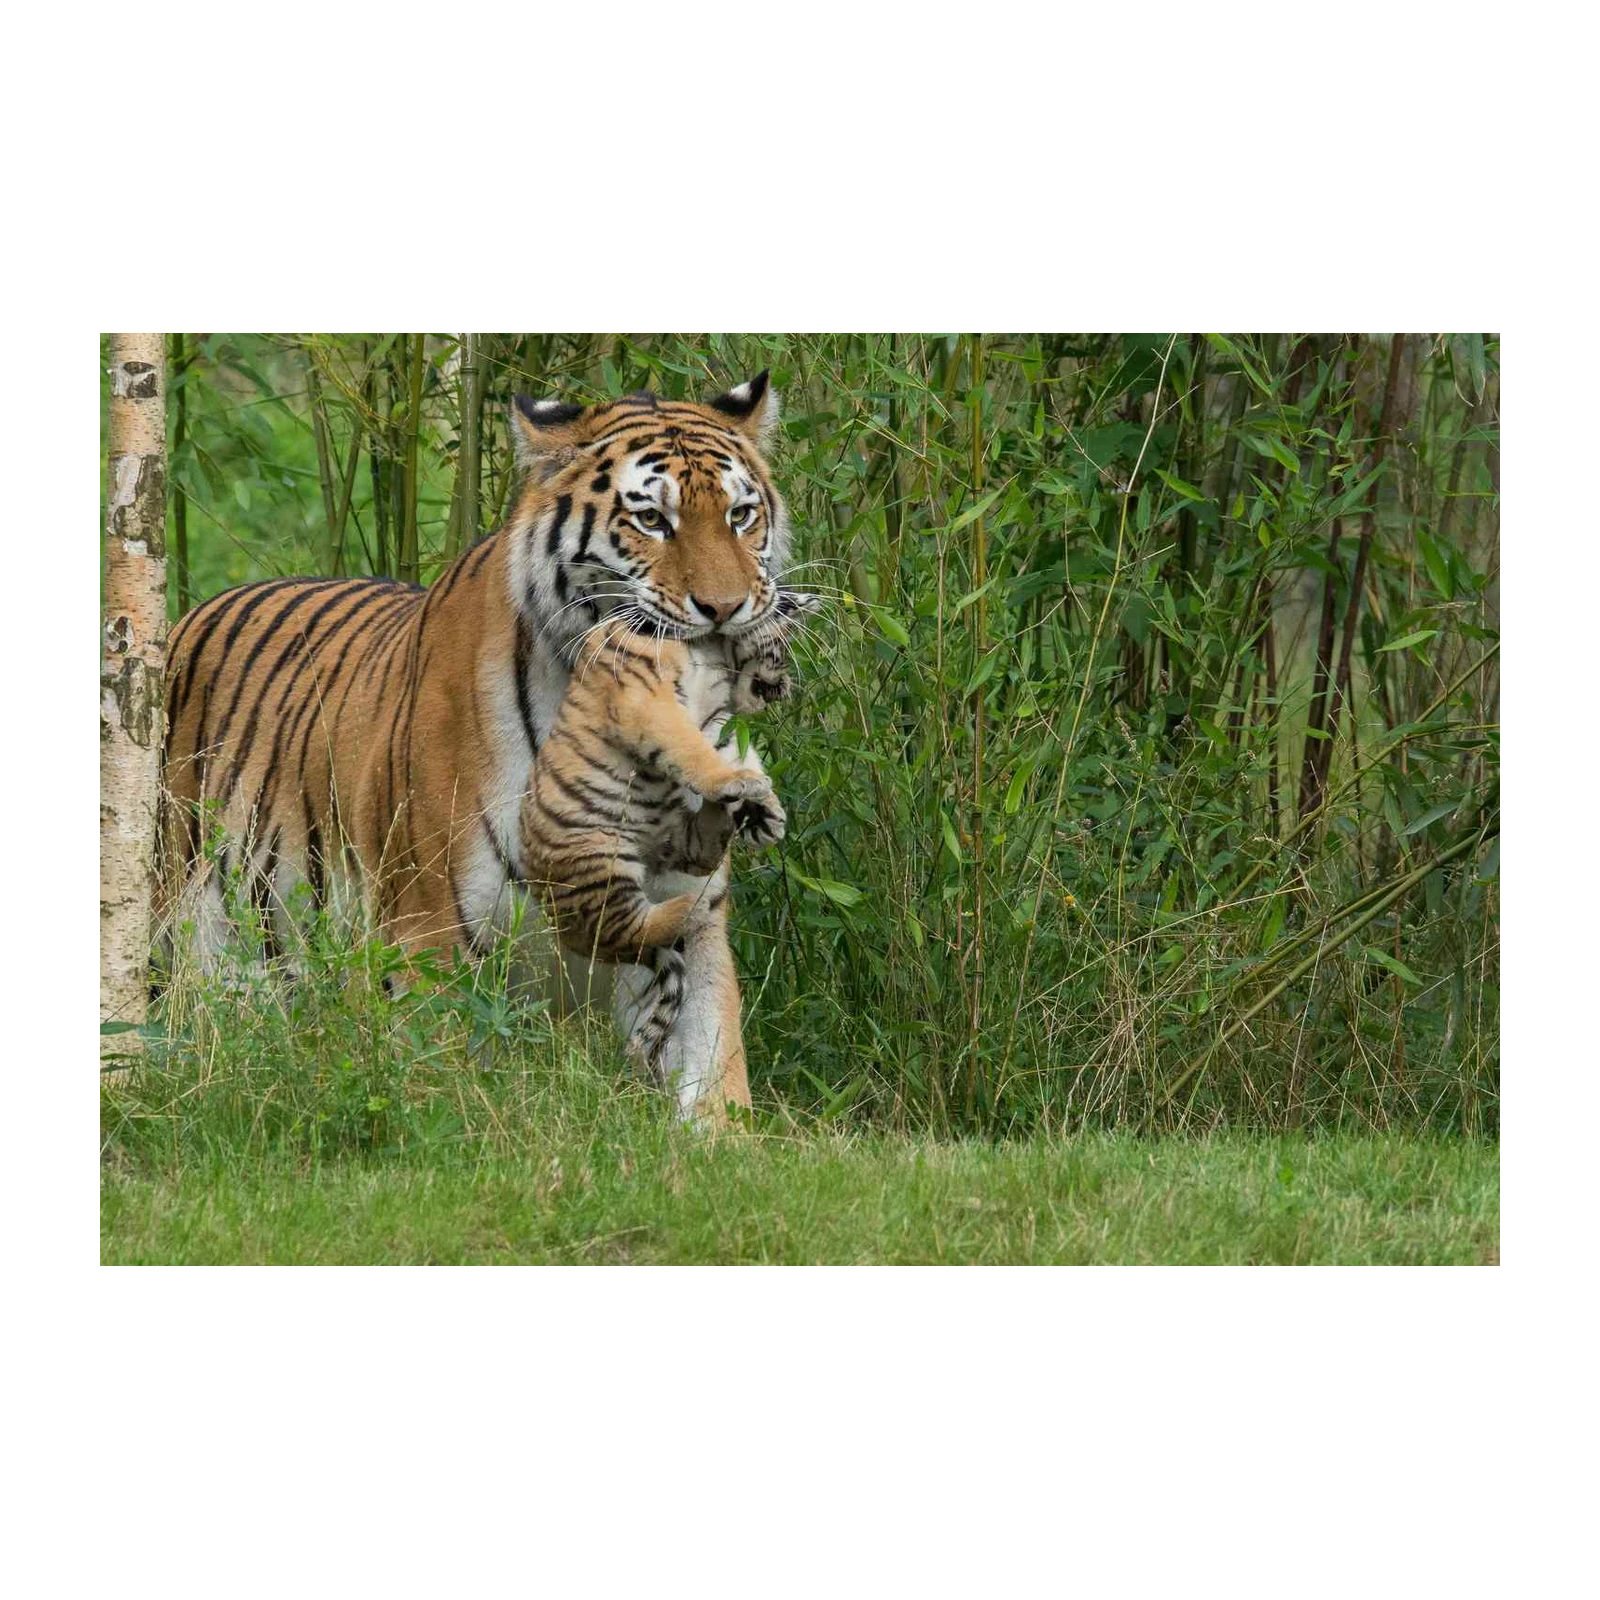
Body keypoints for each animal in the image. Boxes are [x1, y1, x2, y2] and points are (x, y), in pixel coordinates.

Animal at [523, 590, 818, 1076]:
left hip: (664, 841)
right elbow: (691, 751)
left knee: (696, 857)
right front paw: (747, 789)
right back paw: (698, 906)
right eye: (782, 649)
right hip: (600, 861)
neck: (714, 651)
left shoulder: (716, 722)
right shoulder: (648, 698)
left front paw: (765, 809)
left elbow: (733, 752)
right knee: (639, 926)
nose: (785, 690)